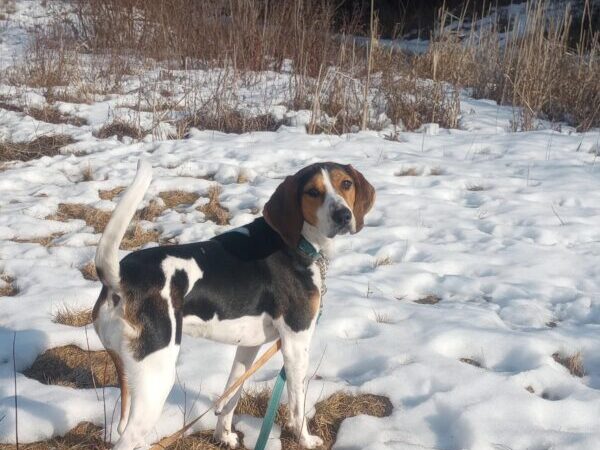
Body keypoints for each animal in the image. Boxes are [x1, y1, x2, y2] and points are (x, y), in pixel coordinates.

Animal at [92, 160, 376, 448]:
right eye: (312, 192)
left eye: (346, 184)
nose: (343, 215)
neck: (297, 242)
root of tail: (120, 277)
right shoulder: (296, 343)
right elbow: (298, 405)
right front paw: (305, 440)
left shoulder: (249, 346)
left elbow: (231, 396)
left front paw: (224, 436)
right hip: (156, 377)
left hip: (127, 374)